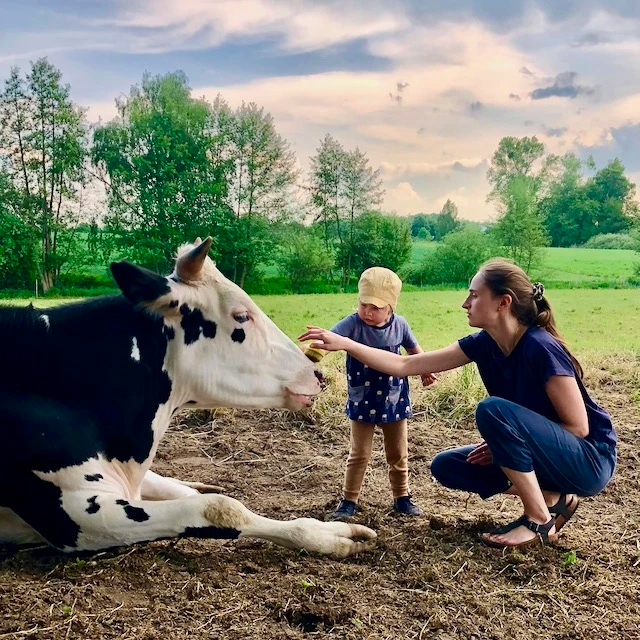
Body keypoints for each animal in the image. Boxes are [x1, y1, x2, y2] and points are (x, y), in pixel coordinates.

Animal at [0, 238, 378, 556]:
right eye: (241, 315)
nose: (317, 375)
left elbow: (204, 498)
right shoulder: (76, 515)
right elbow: (221, 508)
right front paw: (330, 536)